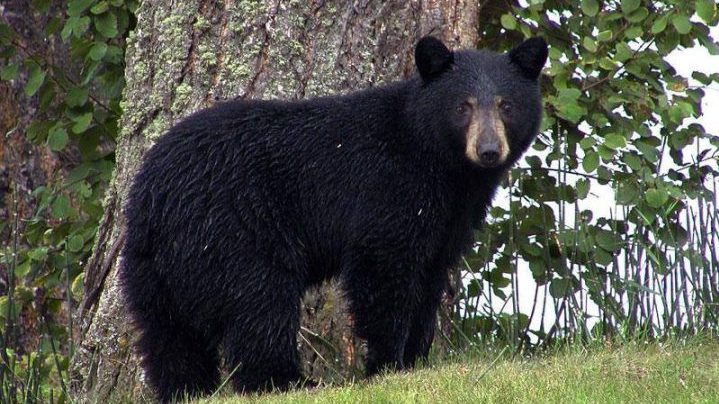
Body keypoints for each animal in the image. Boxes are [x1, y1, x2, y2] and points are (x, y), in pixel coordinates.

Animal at [119, 35, 548, 402]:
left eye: (507, 105)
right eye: (463, 106)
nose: (489, 150)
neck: (442, 165)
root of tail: (154, 194)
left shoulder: (449, 218)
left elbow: (429, 276)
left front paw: (416, 360)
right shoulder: (388, 189)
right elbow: (383, 269)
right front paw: (387, 365)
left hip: (153, 266)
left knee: (168, 335)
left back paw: (187, 390)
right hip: (234, 230)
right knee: (259, 302)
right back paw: (288, 381)